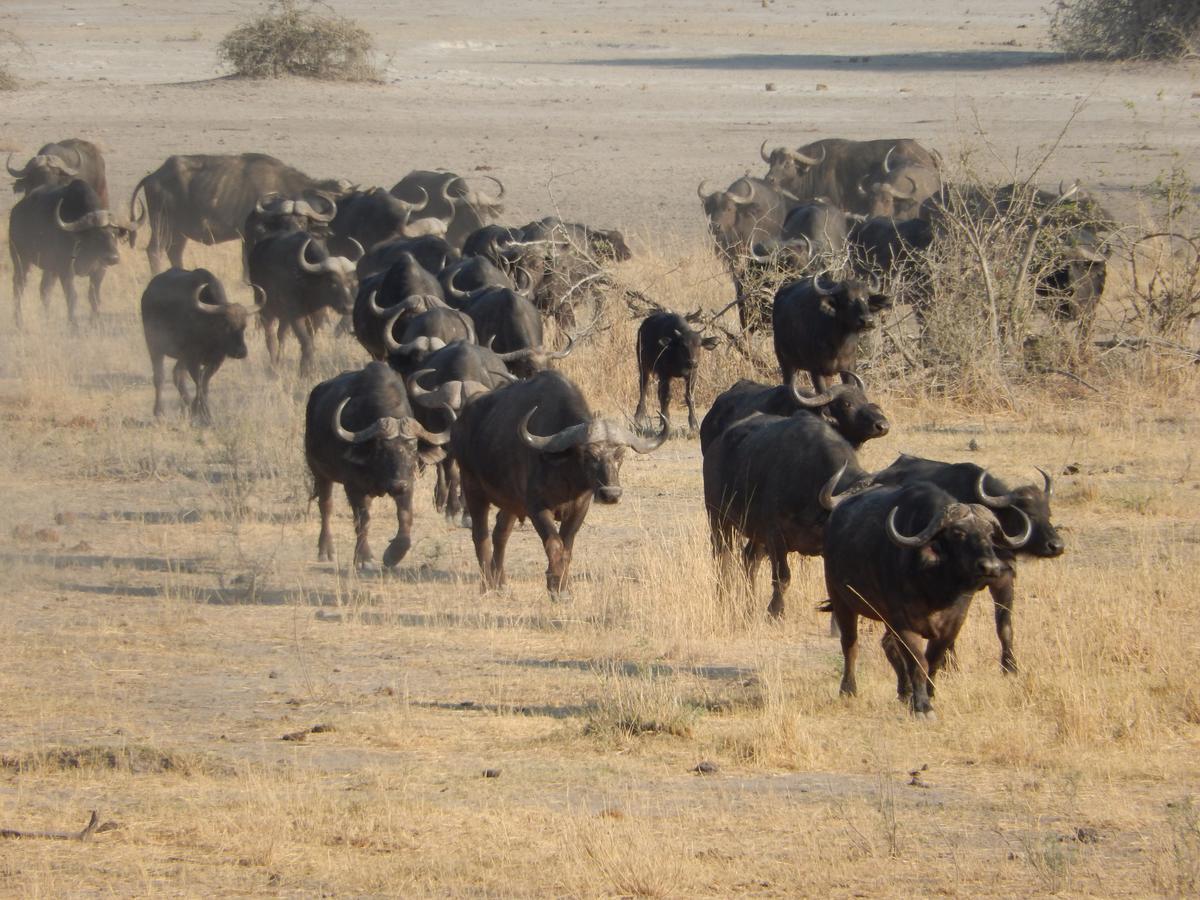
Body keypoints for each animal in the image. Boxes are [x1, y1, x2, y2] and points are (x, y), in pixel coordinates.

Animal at [304, 364, 451, 571]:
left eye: (413, 447)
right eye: (382, 448)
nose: (398, 485)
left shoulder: (408, 484)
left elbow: (406, 517)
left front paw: (393, 555)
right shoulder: (354, 487)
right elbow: (363, 520)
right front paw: (364, 558)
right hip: (319, 471)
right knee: (326, 507)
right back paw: (326, 550)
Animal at [825, 480, 1032, 720]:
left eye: (990, 533)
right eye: (958, 533)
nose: (990, 567)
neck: (936, 587)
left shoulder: (953, 623)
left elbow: (934, 659)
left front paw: (928, 694)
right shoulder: (903, 623)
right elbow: (918, 661)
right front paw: (923, 706)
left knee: (889, 646)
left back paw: (905, 692)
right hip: (841, 600)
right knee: (850, 645)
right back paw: (848, 689)